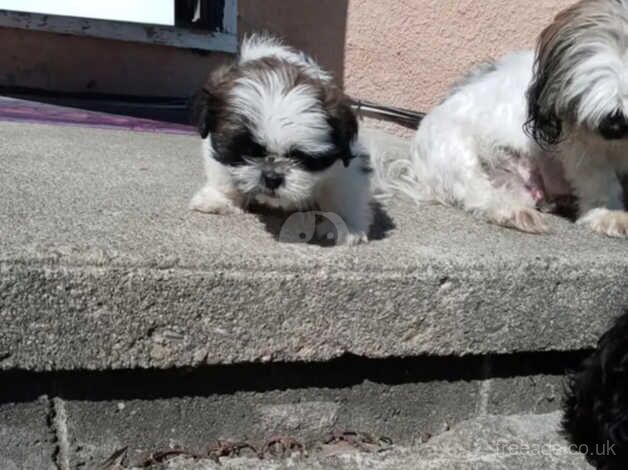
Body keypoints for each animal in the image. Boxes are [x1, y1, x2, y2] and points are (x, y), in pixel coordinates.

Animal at [189, 35, 370, 244]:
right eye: (247, 151)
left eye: (302, 158)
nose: (272, 177)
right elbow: (223, 172)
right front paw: (221, 198)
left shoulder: (345, 166)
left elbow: (344, 191)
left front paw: (346, 224)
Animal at [388, 0, 628, 235]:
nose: (613, 125)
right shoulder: (579, 141)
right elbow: (599, 178)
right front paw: (609, 214)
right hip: (455, 151)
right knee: (478, 192)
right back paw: (514, 212)